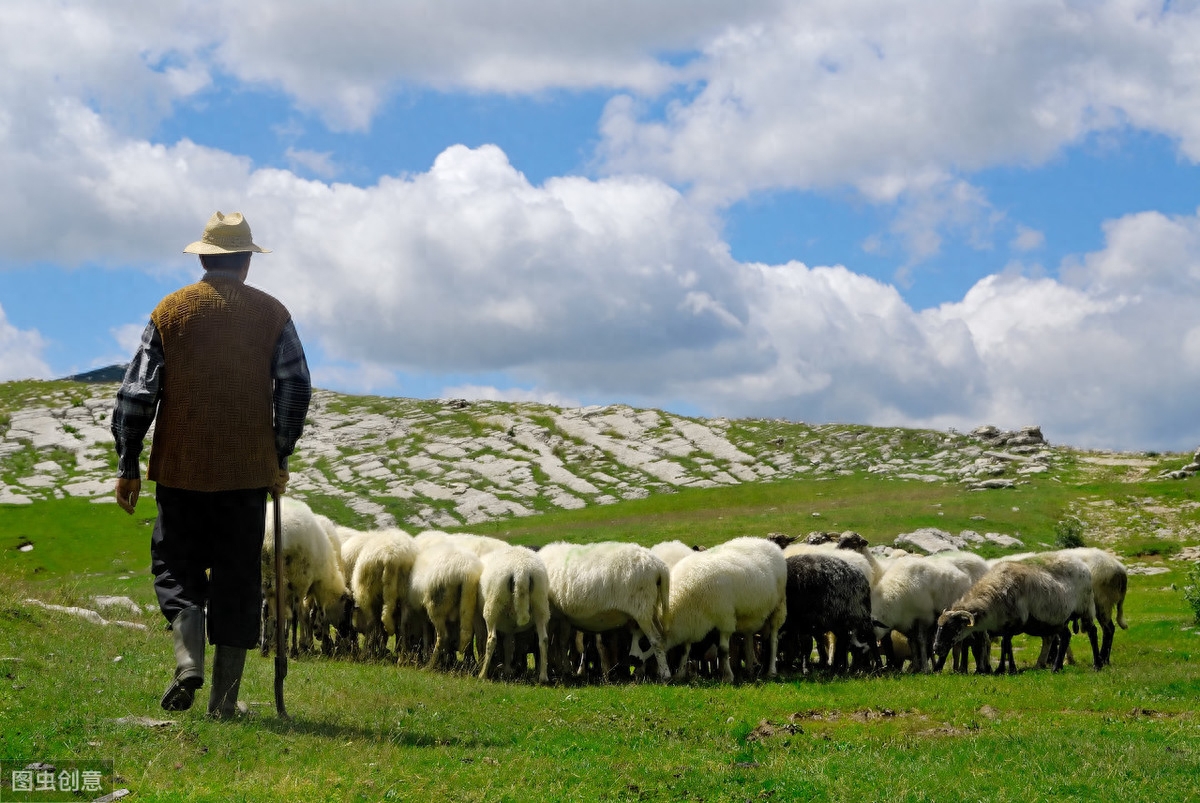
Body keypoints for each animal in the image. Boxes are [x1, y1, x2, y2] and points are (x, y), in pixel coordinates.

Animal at [477, 542, 552, 681]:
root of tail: (521, 571)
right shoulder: (509, 626)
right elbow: (509, 645)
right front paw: (507, 670)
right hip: (540, 602)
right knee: (544, 639)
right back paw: (543, 676)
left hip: (493, 604)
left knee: (491, 639)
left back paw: (482, 675)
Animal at [544, 542, 676, 681]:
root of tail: (659, 567)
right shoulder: (563, 617)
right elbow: (561, 643)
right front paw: (563, 669)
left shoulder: (553, 615)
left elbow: (552, 644)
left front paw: (554, 670)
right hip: (652, 609)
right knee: (662, 637)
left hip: (642, 610)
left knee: (656, 640)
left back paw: (665, 674)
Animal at [648, 535, 787, 681]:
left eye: (655, 652)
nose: (657, 676)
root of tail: (768, 543)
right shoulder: (692, 621)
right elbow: (686, 650)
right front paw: (679, 674)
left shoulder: (725, 618)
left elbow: (723, 650)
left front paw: (727, 677)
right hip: (750, 614)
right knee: (748, 638)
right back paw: (749, 670)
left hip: (779, 606)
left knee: (773, 639)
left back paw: (771, 671)